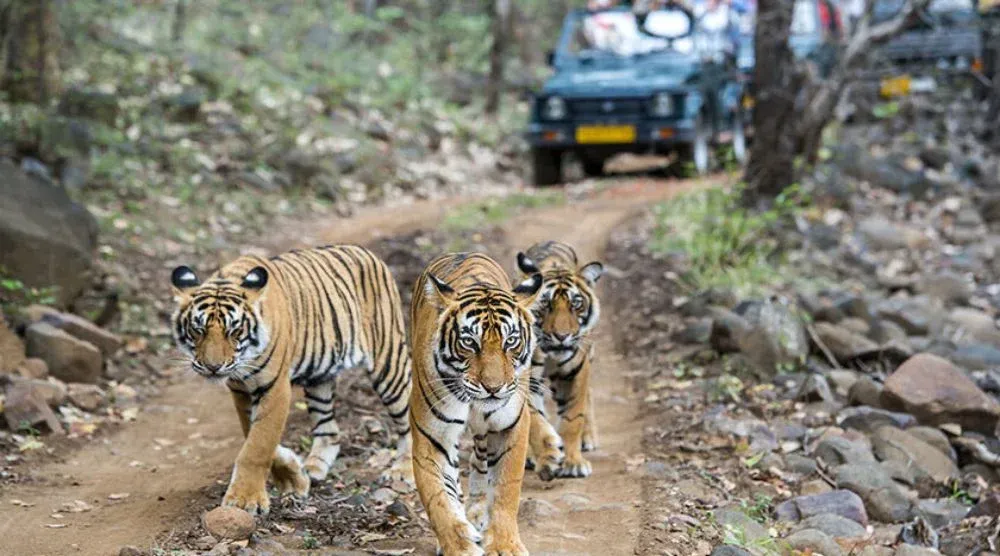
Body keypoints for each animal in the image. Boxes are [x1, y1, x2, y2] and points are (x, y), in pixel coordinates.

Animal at [169, 245, 412, 515]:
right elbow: (252, 434)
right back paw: (315, 467)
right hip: (320, 378)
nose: (213, 367)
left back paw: (403, 471)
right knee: (329, 429)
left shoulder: (275, 387)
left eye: (234, 330)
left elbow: (258, 444)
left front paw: (245, 500)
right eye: (197, 330)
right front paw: (294, 478)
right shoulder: (241, 390)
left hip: (389, 363)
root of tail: (367, 252)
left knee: (408, 419)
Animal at [409, 252, 542, 556]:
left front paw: (504, 544)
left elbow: (506, 488)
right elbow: (438, 498)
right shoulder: (431, 435)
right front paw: (458, 545)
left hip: (485, 430)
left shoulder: (511, 425)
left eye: (511, 341)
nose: (493, 388)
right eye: (469, 342)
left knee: (480, 461)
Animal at [516, 241, 604, 480]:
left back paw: (588, 438)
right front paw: (548, 456)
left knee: (589, 394)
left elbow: (573, 417)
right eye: (546, 305)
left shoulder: (576, 371)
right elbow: (535, 420)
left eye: (576, 304)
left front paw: (573, 462)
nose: (562, 336)